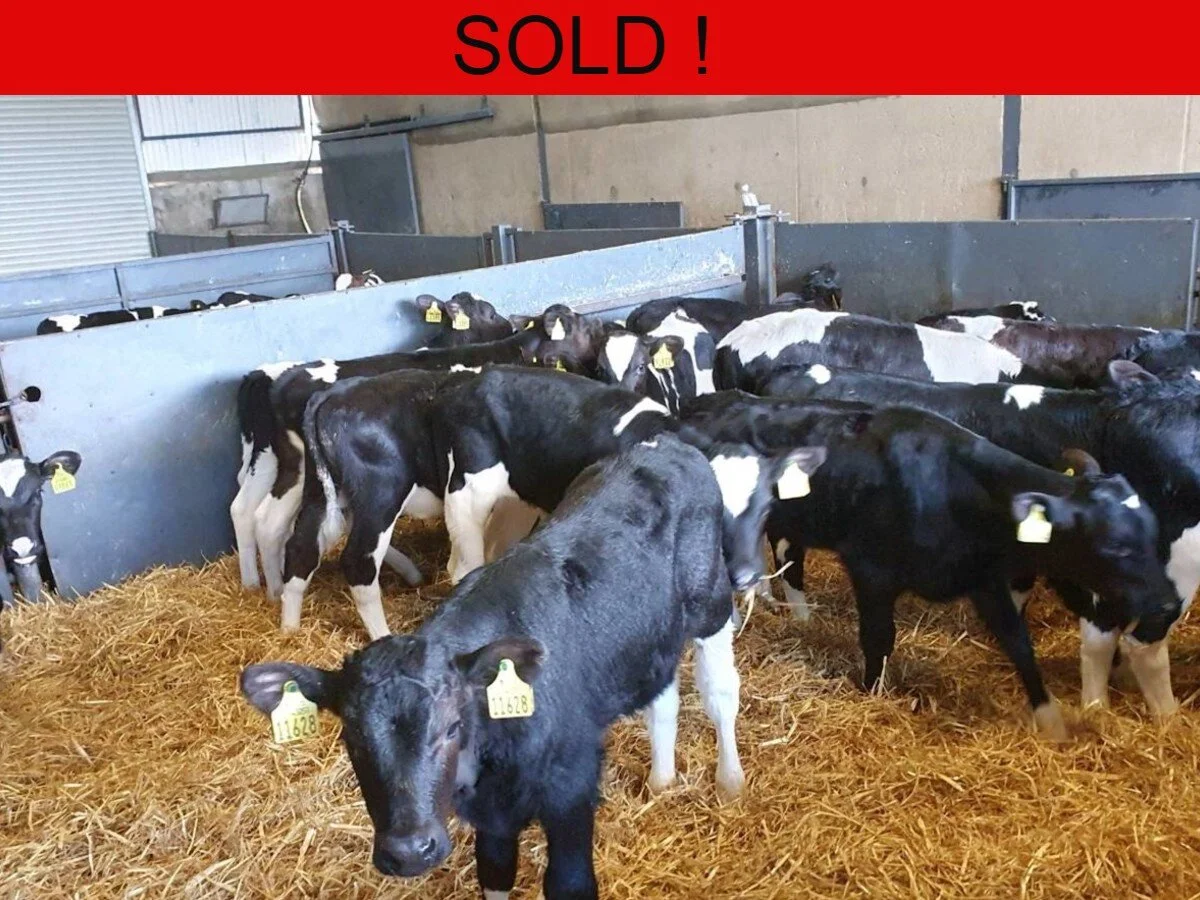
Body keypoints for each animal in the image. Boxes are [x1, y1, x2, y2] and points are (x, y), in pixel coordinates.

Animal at [241, 433, 822, 897]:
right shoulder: (491, 819)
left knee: (720, 690)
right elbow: (494, 873)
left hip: (710, 605)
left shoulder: (572, 788)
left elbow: (569, 882)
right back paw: (660, 780)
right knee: (663, 696)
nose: (408, 851)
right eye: (351, 740)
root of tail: (664, 444)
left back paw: (729, 779)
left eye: (451, 727)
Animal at [681, 392, 1178, 739]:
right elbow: (878, 638)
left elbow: (1019, 643)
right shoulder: (871, 570)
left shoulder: (982, 579)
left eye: (1153, 532)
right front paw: (872, 693)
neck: (955, 489)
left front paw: (1050, 719)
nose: (1170, 603)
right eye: (1115, 547)